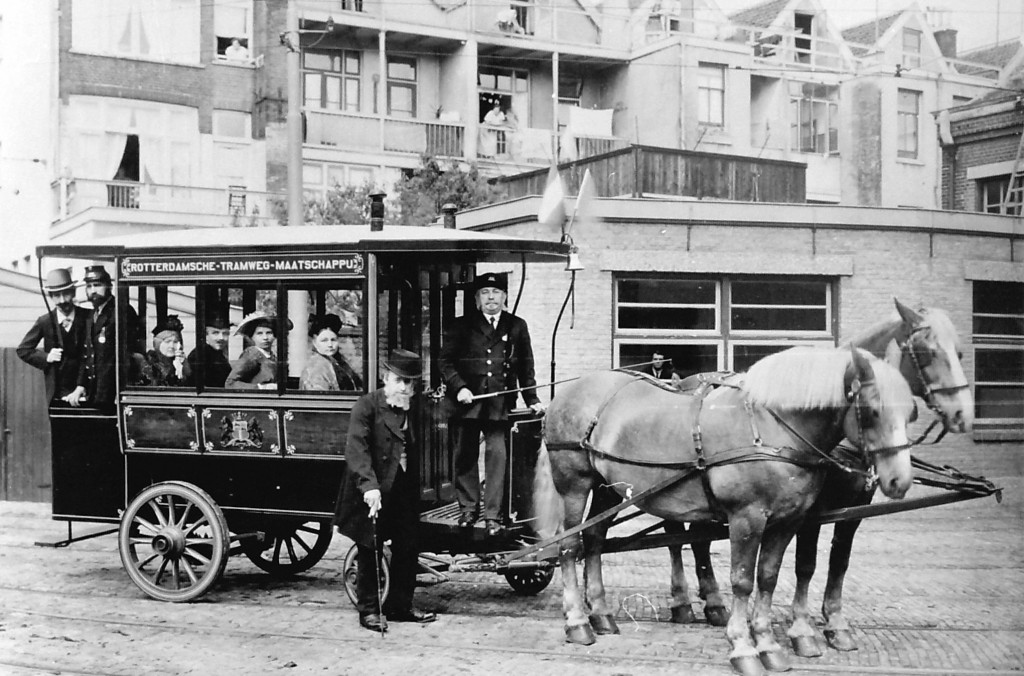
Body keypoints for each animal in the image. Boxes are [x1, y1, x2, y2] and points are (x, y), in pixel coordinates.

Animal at [536, 348, 913, 676]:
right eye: (873, 410)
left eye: (911, 411)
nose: (900, 480)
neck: (772, 428)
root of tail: (570, 392)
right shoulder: (747, 518)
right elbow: (743, 581)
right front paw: (744, 648)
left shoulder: (787, 522)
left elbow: (768, 577)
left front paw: (769, 645)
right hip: (575, 484)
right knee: (569, 547)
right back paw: (578, 622)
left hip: (608, 489)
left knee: (594, 540)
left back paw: (601, 614)